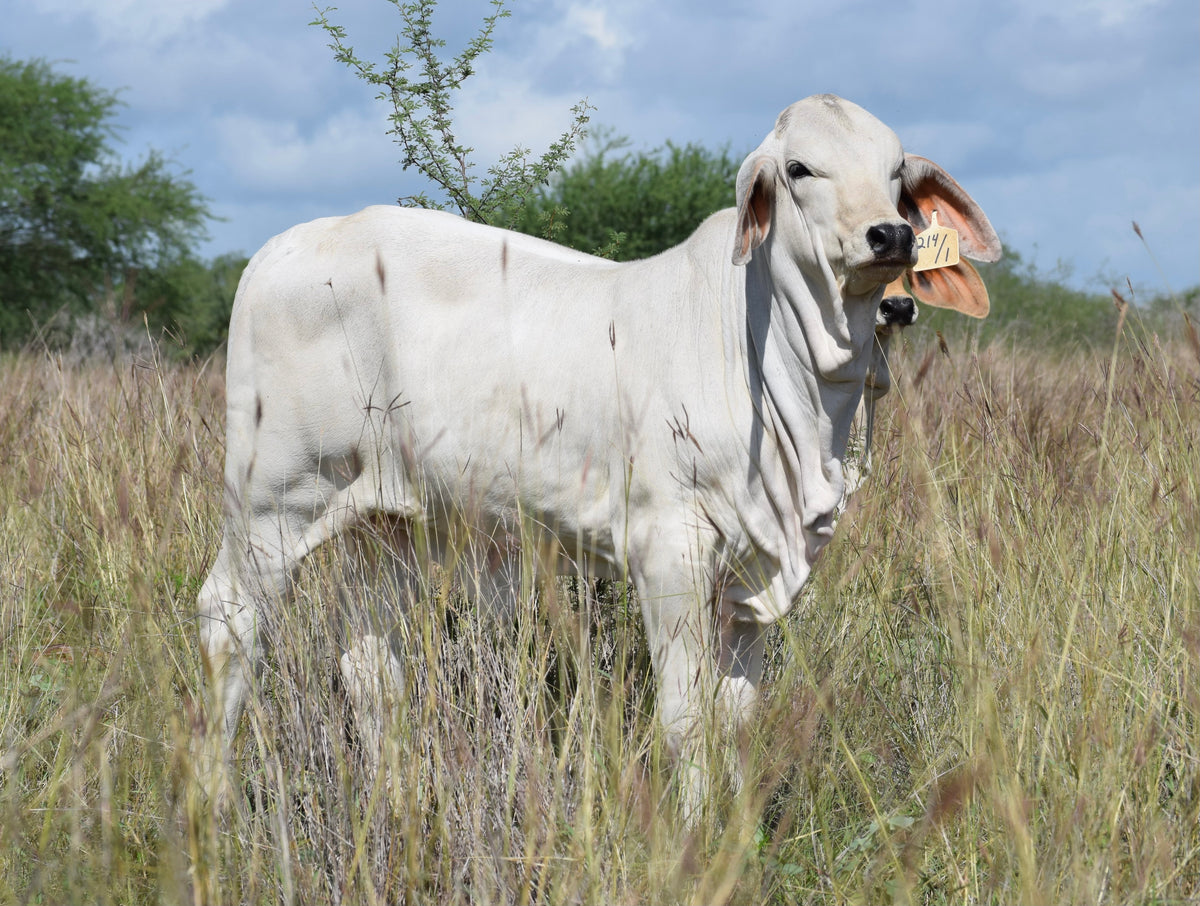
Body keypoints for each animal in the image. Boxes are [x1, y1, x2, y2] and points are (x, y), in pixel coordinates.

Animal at [197, 94, 1000, 816]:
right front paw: (692, 842)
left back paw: (394, 812)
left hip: (384, 525)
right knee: (228, 620)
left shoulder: (752, 577)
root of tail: (279, 250)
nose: (889, 235)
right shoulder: (668, 549)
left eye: (896, 173)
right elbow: (686, 719)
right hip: (270, 503)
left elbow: (737, 719)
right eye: (801, 167)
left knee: (372, 666)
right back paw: (214, 809)